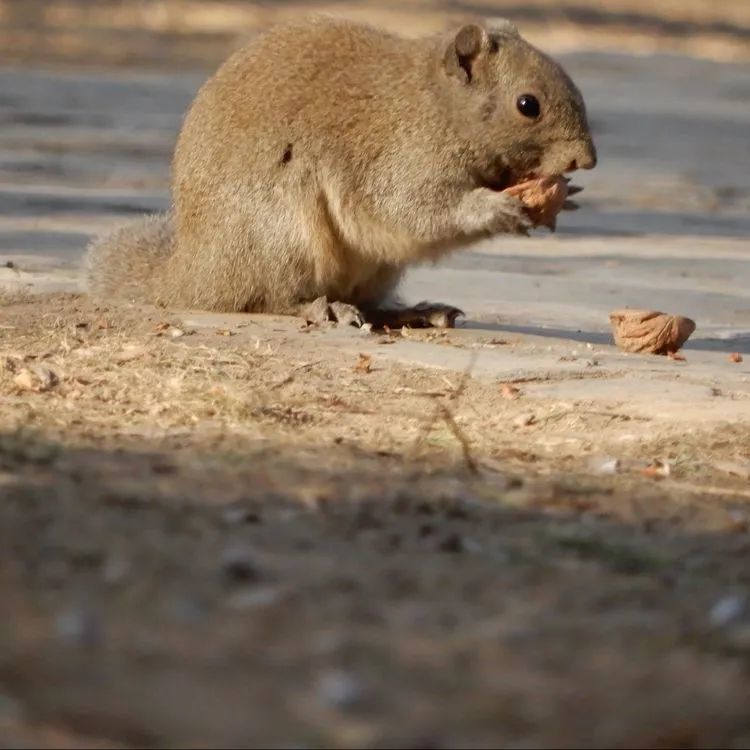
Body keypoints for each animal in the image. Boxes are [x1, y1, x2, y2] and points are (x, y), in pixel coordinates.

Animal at [83, 16, 600, 328]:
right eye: (527, 105)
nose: (586, 160)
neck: (438, 104)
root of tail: (195, 273)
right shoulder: (400, 157)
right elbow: (414, 210)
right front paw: (497, 209)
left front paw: (564, 200)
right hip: (282, 234)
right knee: (265, 298)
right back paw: (321, 306)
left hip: (375, 268)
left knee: (369, 303)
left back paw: (413, 313)